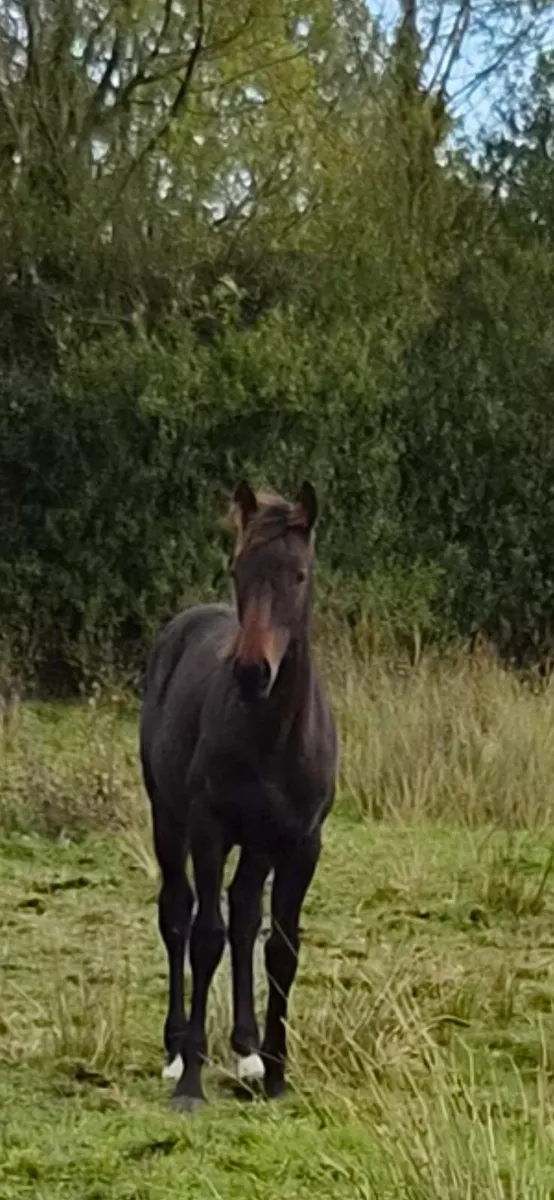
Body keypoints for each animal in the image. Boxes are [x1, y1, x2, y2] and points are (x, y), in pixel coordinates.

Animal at [139, 479, 337, 1111]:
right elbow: (206, 936)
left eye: (299, 574)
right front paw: (192, 1083)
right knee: (178, 915)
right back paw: (176, 1050)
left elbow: (282, 948)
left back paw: (246, 1049)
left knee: (246, 914)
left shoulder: (302, 842)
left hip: (259, 844)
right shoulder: (209, 828)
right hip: (168, 818)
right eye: (238, 568)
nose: (252, 673)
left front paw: (276, 1075)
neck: (271, 735)